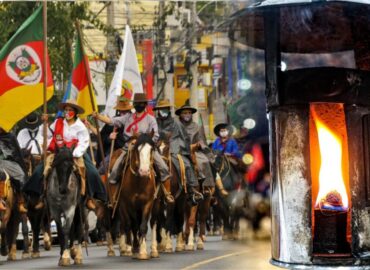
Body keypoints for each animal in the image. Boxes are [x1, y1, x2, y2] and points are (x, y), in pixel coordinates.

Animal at [119, 132, 157, 260]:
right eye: (137, 149)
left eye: (151, 149)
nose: (144, 171)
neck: (139, 182)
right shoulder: (129, 204)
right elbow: (134, 225)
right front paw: (135, 248)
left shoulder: (148, 203)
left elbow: (143, 225)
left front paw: (143, 251)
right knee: (127, 224)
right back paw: (128, 248)